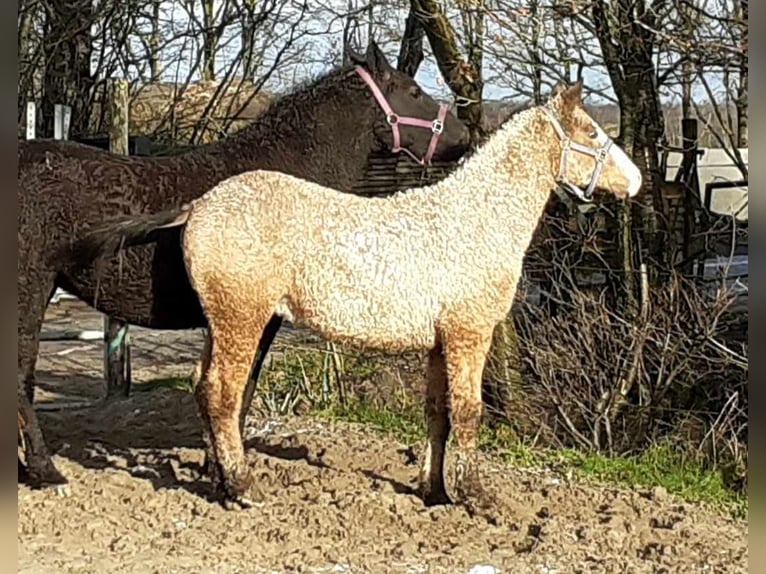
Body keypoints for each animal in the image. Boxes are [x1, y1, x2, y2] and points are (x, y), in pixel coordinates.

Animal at [17, 40, 471, 490]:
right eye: (414, 91)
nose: (464, 136)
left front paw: (214, 466)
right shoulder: (260, 316)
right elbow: (240, 389)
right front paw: (226, 472)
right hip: (30, 289)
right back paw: (45, 471)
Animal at [68, 81, 642, 511]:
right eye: (592, 132)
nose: (634, 181)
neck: (473, 220)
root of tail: (200, 205)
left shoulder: (439, 343)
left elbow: (436, 412)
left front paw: (434, 491)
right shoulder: (469, 335)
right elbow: (468, 411)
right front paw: (478, 497)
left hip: (223, 320)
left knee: (203, 387)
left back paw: (221, 483)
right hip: (241, 318)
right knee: (222, 392)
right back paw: (242, 487)